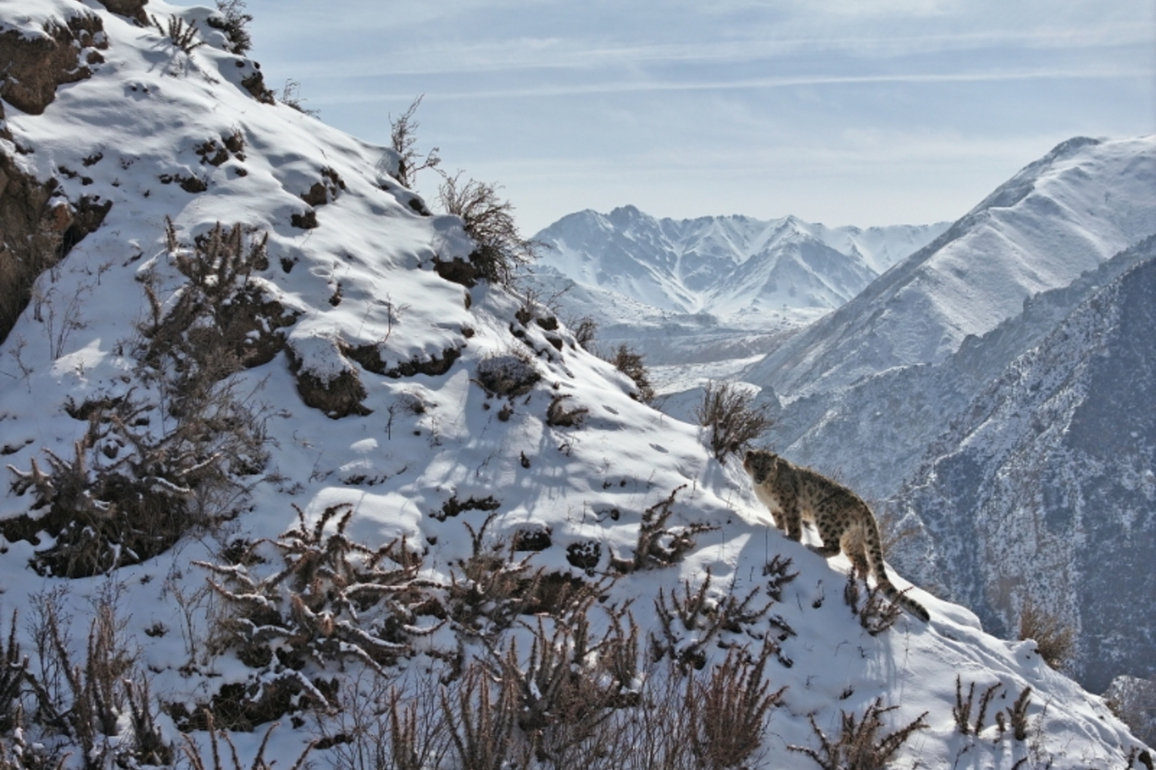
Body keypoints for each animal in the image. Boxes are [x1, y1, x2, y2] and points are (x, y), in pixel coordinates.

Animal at [743, 449, 929, 622]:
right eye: (757, 465)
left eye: (768, 467)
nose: (760, 477)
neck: (763, 489)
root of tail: (864, 506)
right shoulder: (774, 508)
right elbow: (780, 522)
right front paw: (779, 530)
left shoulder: (790, 503)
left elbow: (794, 524)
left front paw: (791, 539)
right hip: (852, 540)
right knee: (863, 562)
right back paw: (859, 581)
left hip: (826, 519)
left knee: (834, 547)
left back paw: (815, 549)